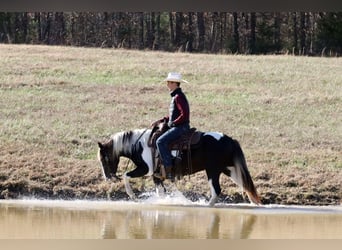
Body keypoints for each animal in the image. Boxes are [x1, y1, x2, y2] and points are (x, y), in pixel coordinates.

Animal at [97, 126, 262, 206]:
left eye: (104, 158)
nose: (108, 178)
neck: (140, 145)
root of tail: (229, 139)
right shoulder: (156, 175)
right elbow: (160, 192)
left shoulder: (145, 169)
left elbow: (126, 176)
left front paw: (132, 196)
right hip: (230, 169)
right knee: (246, 185)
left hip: (213, 171)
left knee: (216, 190)